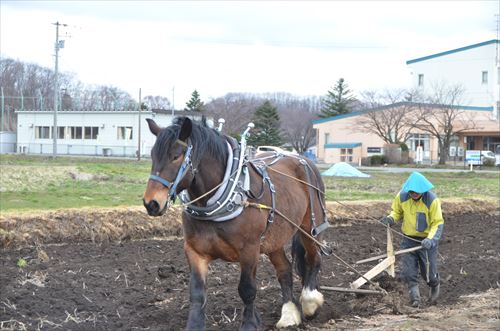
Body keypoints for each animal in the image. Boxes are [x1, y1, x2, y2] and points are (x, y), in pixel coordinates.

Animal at [143, 116, 328, 330]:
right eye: (153, 156)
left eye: (175, 156)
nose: (151, 203)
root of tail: (302, 159)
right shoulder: (194, 250)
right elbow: (197, 292)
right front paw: (195, 324)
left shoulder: (249, 249)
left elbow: (247, 289)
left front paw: (249, 324)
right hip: (274, 239)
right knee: (285, 270)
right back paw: (289, 314)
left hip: (310, 228)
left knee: (315, 259)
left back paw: (310, 303)